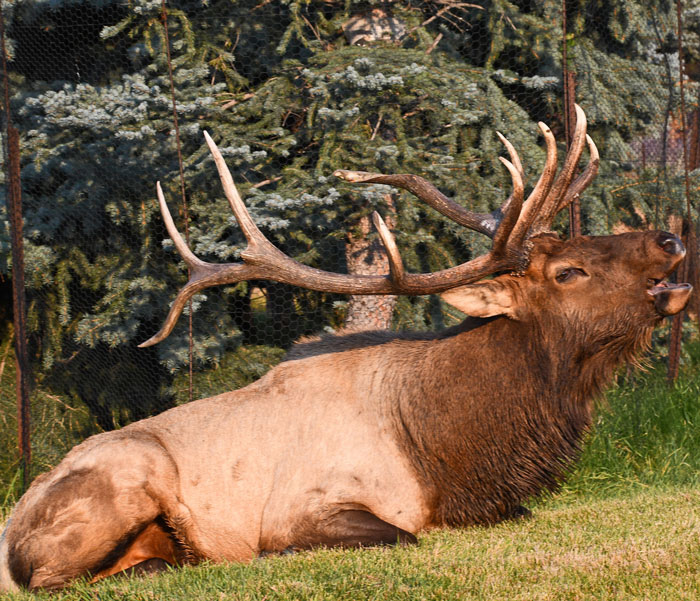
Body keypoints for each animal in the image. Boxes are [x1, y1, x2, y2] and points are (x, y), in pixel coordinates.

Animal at [0, 105, 692, 588]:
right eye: (567, 272)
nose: (670, 239)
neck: (452, 457)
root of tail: (9, 535)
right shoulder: (305, 506)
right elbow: (400, 537)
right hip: (127, 476)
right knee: (57, 580)